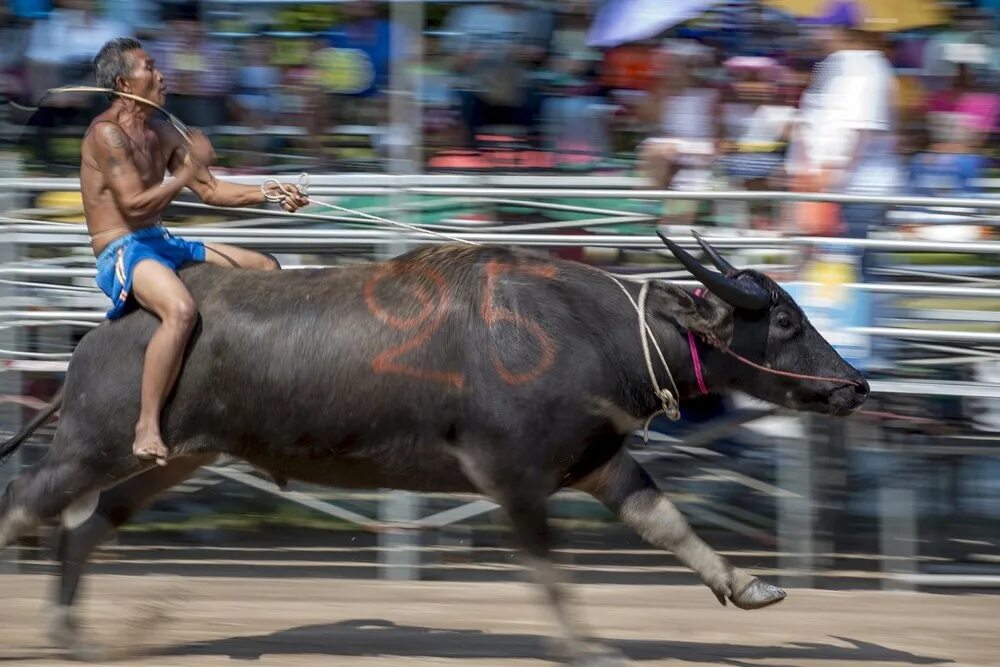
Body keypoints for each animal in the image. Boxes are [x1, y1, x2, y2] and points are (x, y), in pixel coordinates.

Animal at [0, 232, 868, 664]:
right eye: (784, 320)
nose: (855, 385)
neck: (587, 330)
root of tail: (101, 330)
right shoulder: (517, 477)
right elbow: (552, 572)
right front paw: (585, 645)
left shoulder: (596, 460)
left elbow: (669, 524)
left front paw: (750, 586)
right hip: (92, 444)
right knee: (24, 504)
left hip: (170, 456)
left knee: (86, 527)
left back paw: (74, 635)